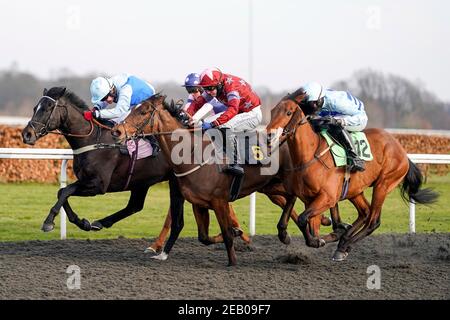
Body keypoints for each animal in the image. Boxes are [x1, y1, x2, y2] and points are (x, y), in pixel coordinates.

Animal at [110, 94, 340, 266]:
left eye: (142, 112)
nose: (117, 131)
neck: (192, 153)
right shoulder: (199, 204)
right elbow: (204, 237)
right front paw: (236, 232)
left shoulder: (219, 201)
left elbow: (227, 234)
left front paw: (232, 260)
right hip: (271, 187)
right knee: (290, 200)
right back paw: (308, 229)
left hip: (282, 183)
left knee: (300, 199)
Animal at [266, 89, 438, 262]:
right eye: (272, 111)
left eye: (288, 112)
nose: (269, 136)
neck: (309, 156)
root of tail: (401, 150)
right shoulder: (300, 194)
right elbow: (290, 218)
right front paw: (288, 235)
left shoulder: (328, 197)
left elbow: (303, 219)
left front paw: (318, 240)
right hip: (355, 189)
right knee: (365, 212)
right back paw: (343, 240)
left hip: (384, 184)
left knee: (373, 220)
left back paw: (343, 245)